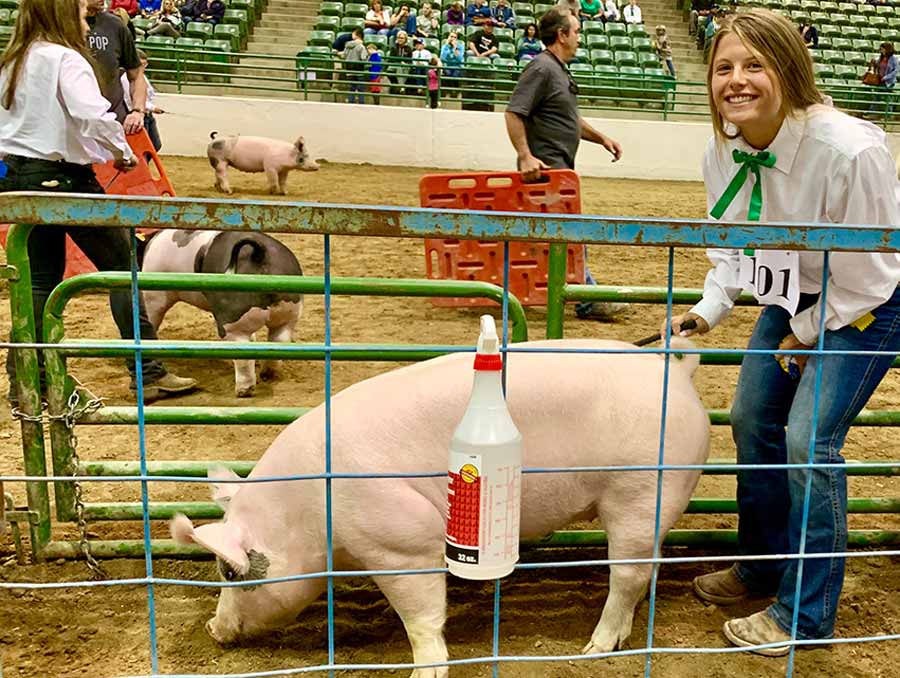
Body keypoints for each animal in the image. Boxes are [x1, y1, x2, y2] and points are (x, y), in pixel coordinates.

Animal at [172, 340, 712, 678]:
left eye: (228, 570)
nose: (213, 630)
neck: (307, 514)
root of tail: (677, 372)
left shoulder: (400, 540)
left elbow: (421, 613)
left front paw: (423, 671)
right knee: (646, 569)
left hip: (641, 487)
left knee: (628, 574)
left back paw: (592, 649)